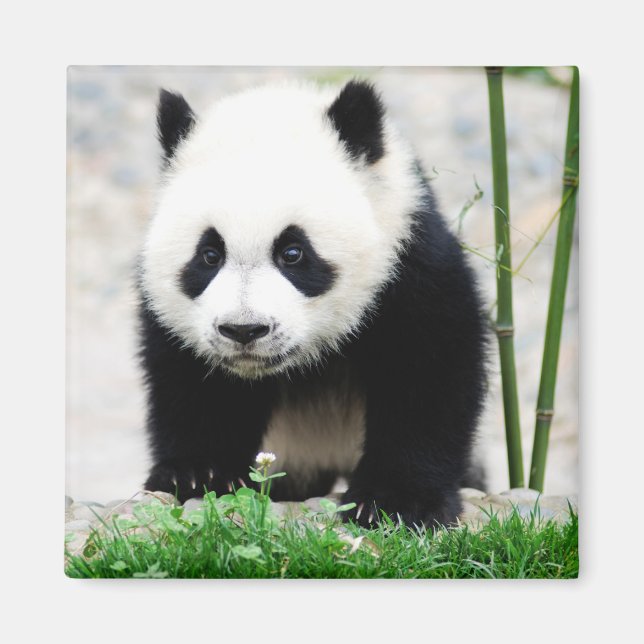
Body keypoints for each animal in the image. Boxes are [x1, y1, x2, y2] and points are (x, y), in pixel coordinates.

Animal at [138, 79, 488, 528]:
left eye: (293, 252)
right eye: (210, 255)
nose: (244, 330)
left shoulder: (409, 260)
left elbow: (428, 371)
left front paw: (394, 501)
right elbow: (191, 382)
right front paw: (198, 474)